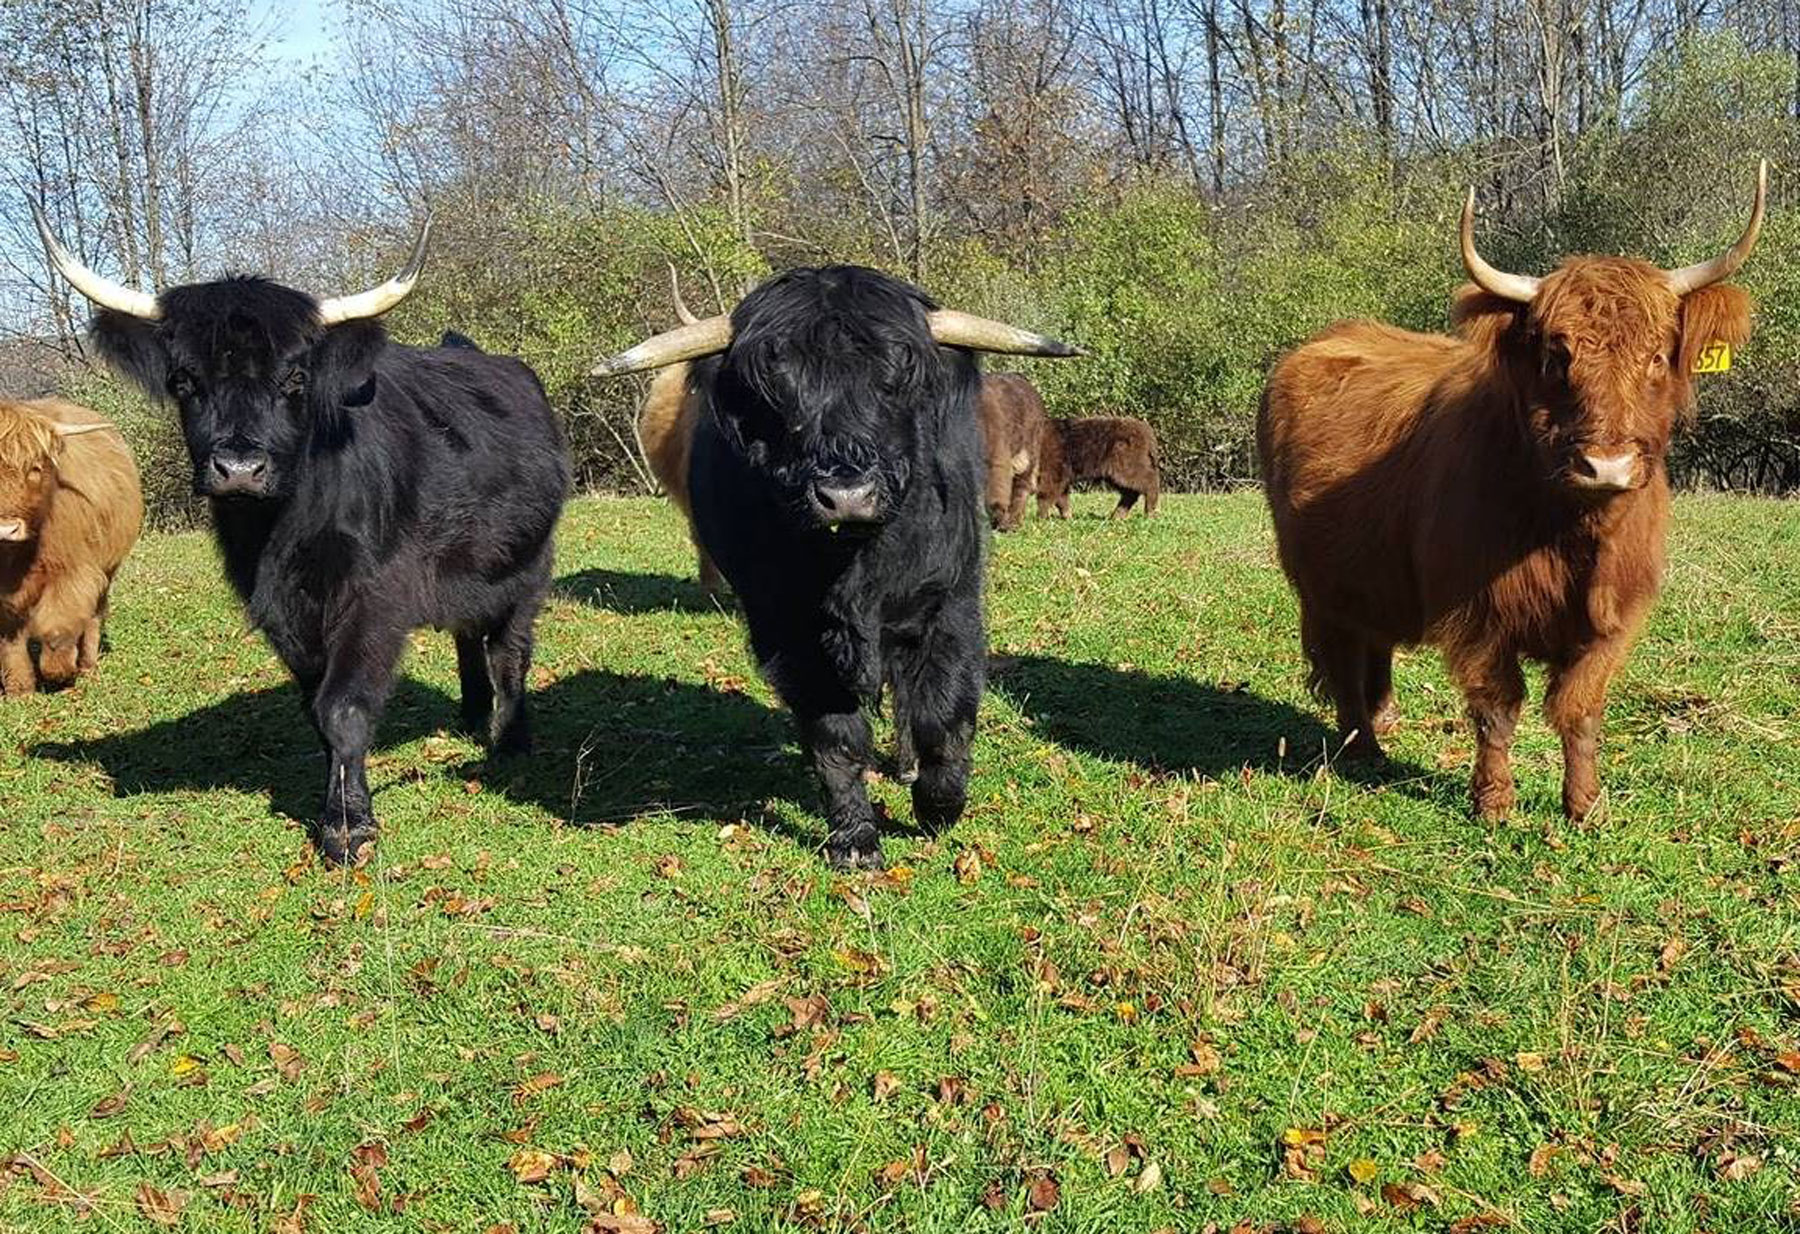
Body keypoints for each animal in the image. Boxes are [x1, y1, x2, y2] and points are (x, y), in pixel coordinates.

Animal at [0, 399, 143, 694]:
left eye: (35, 469)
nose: (6, 529)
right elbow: (9, 636)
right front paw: (20, 690)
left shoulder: (73, 572)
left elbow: (58, 628)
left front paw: (60, 674)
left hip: (106, 569)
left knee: (94, 615)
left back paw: (87, 665)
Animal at [35, 207, 570, 865]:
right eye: (185, 380)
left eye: (295, 378)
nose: (239, 468)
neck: (282, 536)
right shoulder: (282, 611)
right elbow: (317, 708)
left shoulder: (374, 599)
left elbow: (343, 706)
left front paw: (348, 827)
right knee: (469, 635)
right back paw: (472, 716)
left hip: (527, 567)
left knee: (508, 649)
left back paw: (510, 738)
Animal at [1256, 163, 1763, 822]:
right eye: (1556, 353)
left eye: (1657, 355)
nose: (1606, 465)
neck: (1572, 529)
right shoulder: (1478, 616)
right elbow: (1497, 708)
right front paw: (1494, 803)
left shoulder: (1616, 618)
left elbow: (1581, 709)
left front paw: (1584, 806)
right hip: (1321, 582)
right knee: (1344, 655)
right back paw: (1362, 745)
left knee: (1373, 643)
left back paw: (1382, 720)